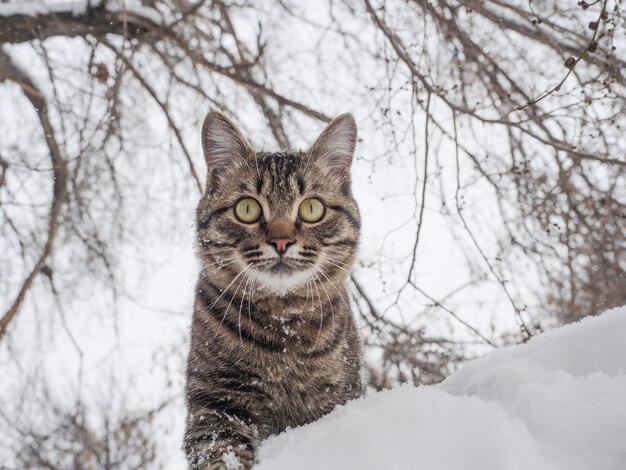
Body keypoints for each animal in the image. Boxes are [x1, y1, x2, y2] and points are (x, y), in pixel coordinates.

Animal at [183, 112, 360, 468]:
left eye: (312, 209)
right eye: (247, 209)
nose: (281, 241)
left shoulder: (338, 393)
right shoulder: (215, 401)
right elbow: (220, 454)